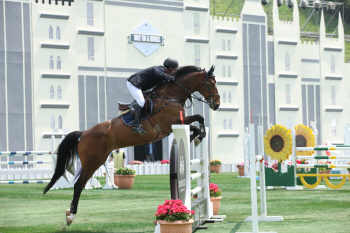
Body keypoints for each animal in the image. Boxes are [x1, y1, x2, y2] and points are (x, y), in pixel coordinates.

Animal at [42, 64, 220, 225]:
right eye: (211, 83)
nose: (216, 104)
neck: (170, 97)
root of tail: (84, 133)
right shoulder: (173, 123)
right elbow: (198, 119)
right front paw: (197, 137)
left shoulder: (178, 123)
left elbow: (198, 123)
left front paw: (197, 137)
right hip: (91, 161)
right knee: (78, 185)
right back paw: (71, 216)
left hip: (98, 161)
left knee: (80, 184)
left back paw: (69, 213)